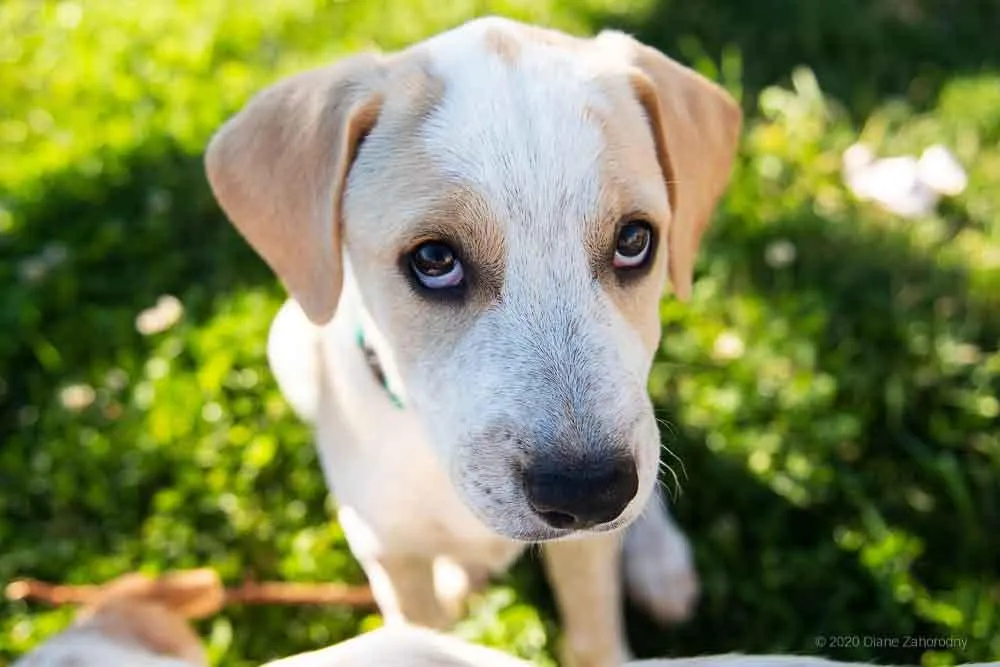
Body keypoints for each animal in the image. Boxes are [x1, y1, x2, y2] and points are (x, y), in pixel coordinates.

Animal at [205, 15, 744, 667]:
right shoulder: (388, 553)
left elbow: (595, 636)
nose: (590, 492)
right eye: (435, 260)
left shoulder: (588, 544)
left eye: (635, 240)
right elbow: (416, 626)